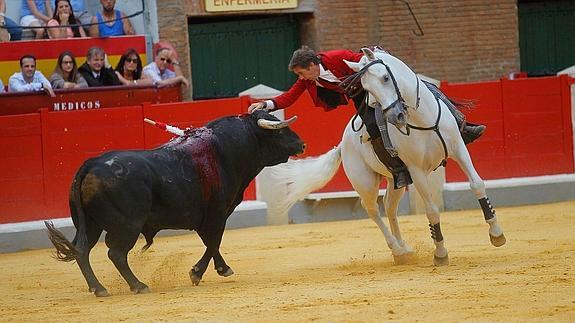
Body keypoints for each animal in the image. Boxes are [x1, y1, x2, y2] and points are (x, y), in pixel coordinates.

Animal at [45, 112, 306, 298]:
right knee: (116, 253)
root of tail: (92, 163)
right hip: (127, 225)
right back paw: (138, 285)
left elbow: (211, 242)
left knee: (82, 250)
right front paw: (198, 273)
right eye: (280, 131)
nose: (302, 144)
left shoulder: (205, 217)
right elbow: (214, 241)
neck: (225, 151)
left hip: (90, 224)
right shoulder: (217, 213)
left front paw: (219, 268)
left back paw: (99, 288)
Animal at [272, 48, 506, 266]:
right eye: (366, 88)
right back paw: (398, 249)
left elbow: (477, 184)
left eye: (386, 77)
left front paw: (496, 234)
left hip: (396, 180)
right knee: (373, 210)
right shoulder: (416, 170)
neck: (421, 119)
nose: (396, 116)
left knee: (389, 206)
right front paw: (440, 253)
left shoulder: (459, 149)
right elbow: (431, 210)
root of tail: (342, 144)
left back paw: (405, 249)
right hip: (365, 182)